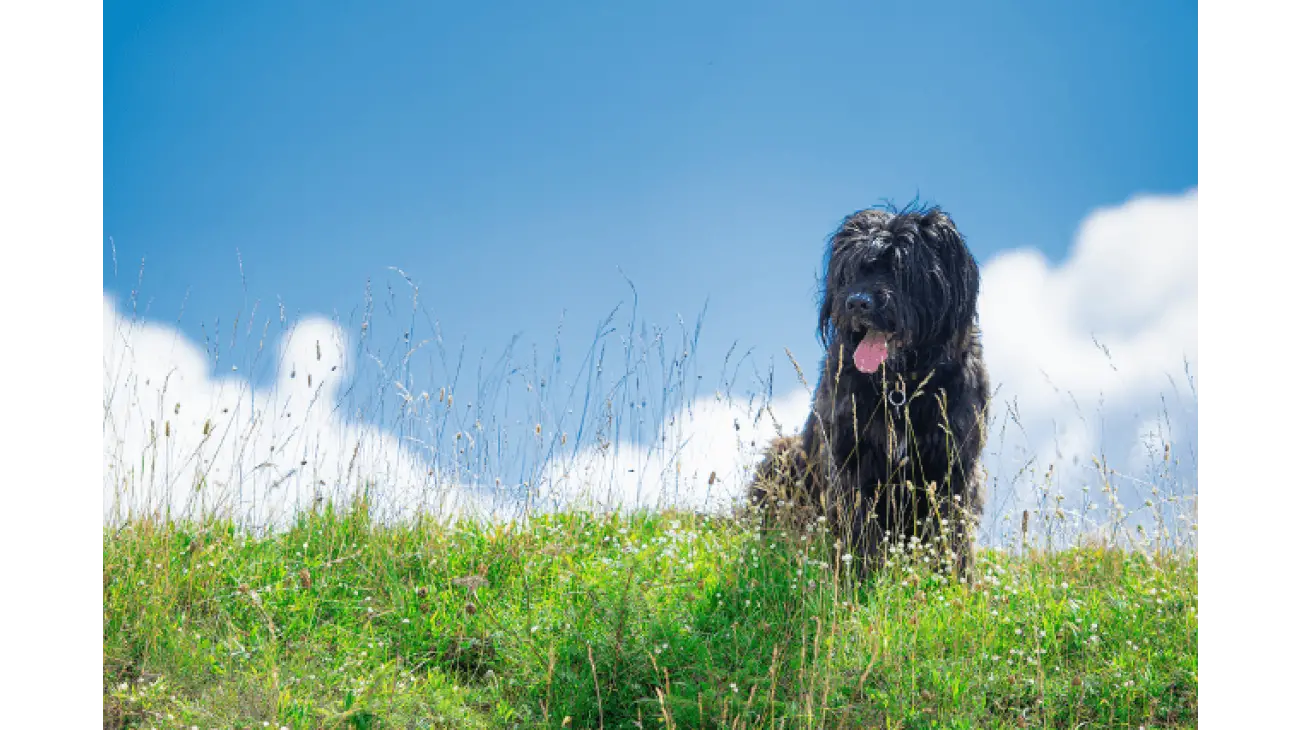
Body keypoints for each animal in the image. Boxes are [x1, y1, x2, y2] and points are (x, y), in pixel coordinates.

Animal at [748, 201, 987, 576]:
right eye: (854, 270)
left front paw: (955, 581)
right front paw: (861, 578)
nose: (858, 302)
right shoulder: (851, 464)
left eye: (902, 268)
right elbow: (860, 532)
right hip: (781, 457)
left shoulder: (954, 469)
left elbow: (951, 535)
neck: (900, 387)